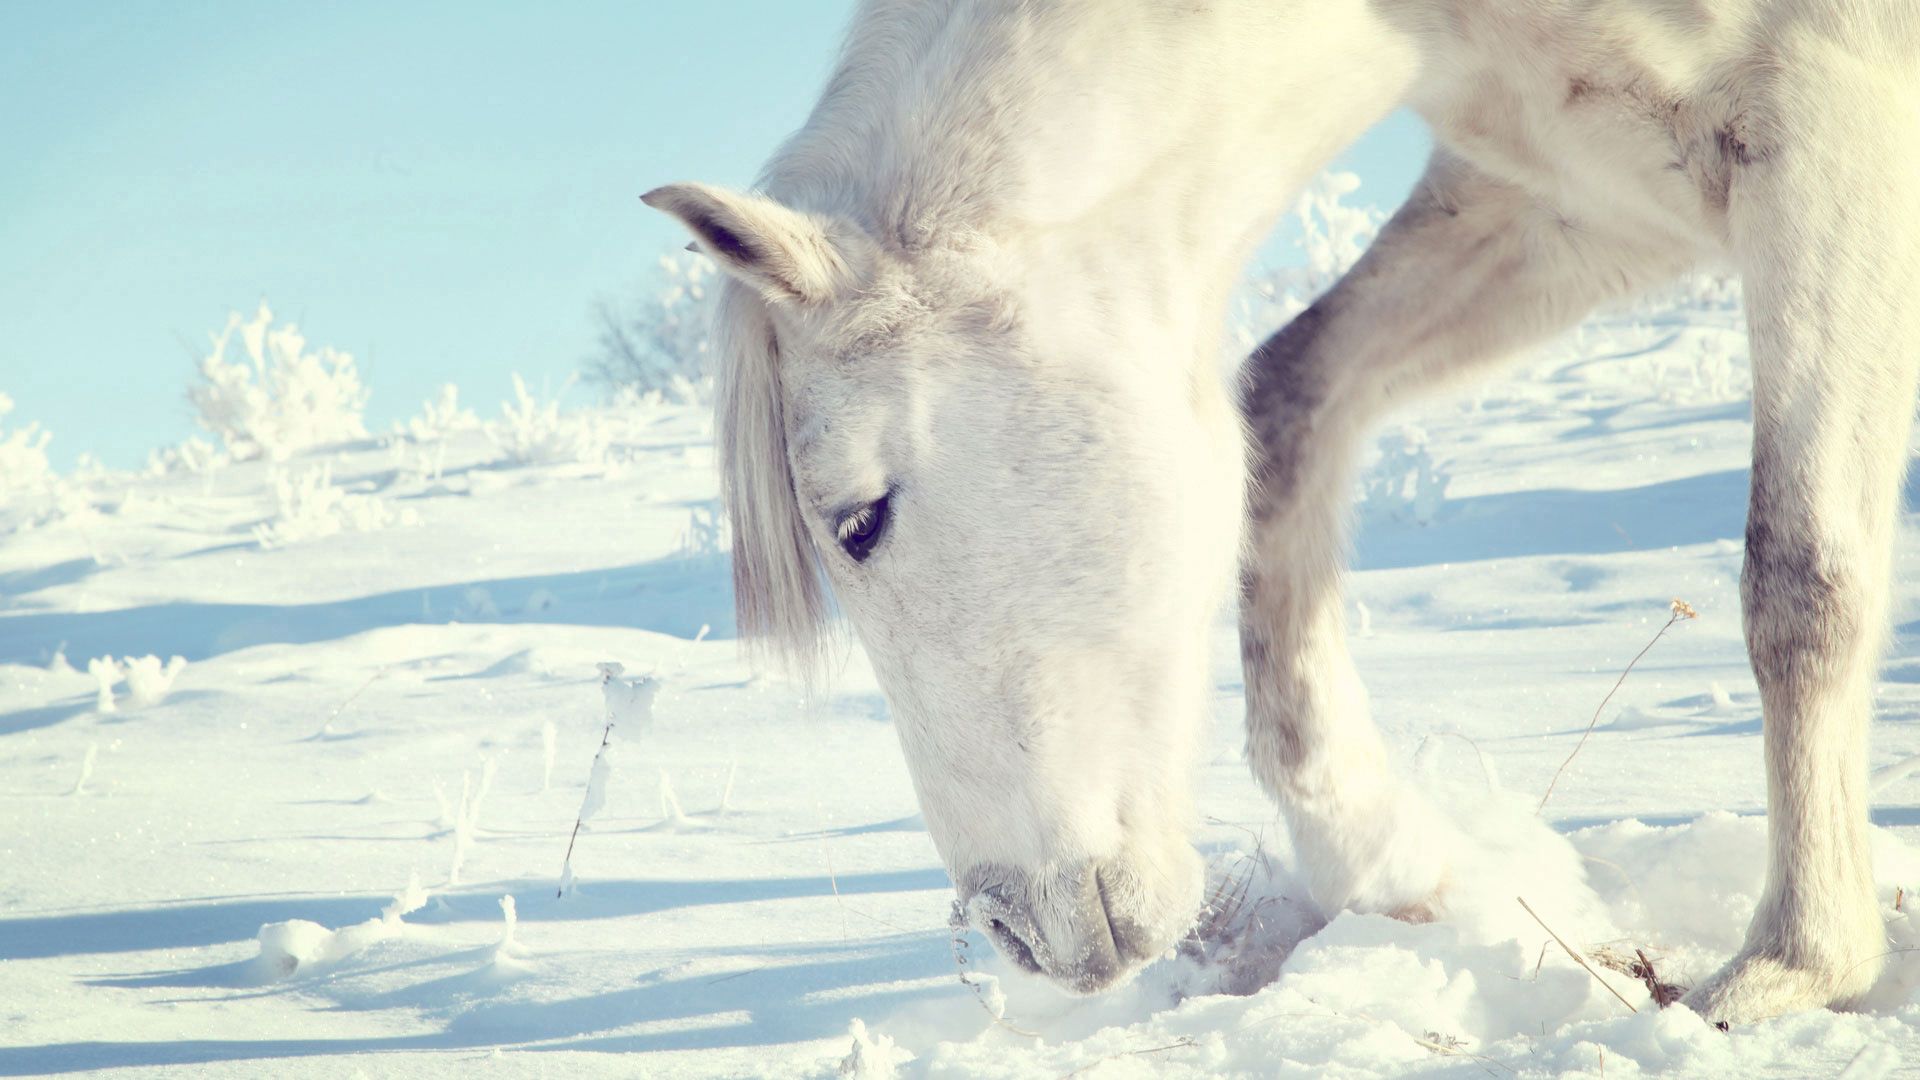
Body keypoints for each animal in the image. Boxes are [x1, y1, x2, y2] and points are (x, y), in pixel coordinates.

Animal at [648, 0, 1920, 1014]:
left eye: (859, 520)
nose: (1014, 934)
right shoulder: (1577, 197)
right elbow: (1287, 404)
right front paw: (1388, 860)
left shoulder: (1829, 124)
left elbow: (1801, 575)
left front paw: (1796, 964)